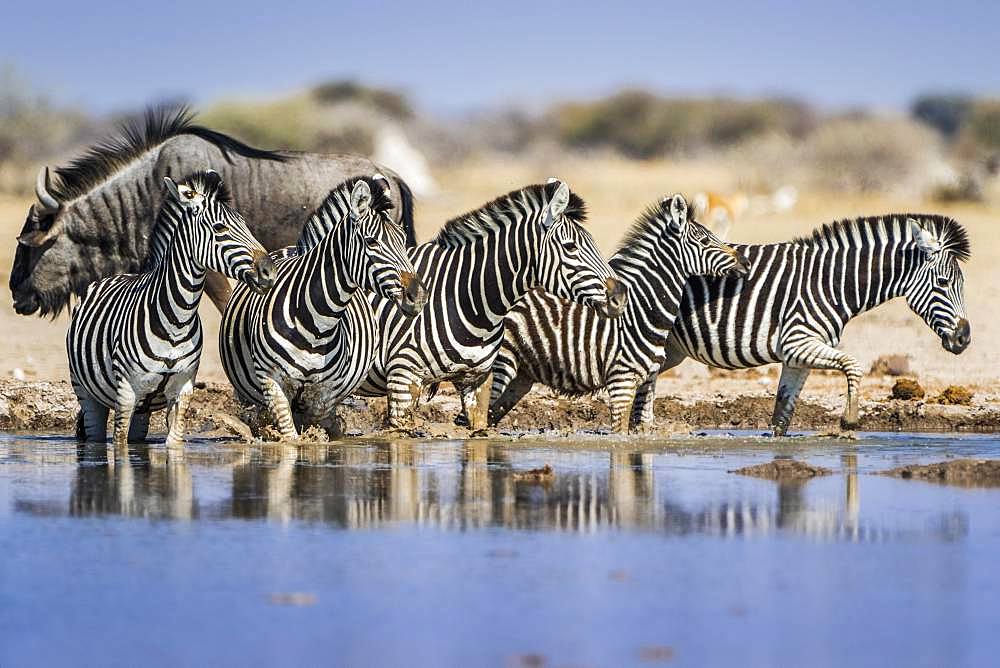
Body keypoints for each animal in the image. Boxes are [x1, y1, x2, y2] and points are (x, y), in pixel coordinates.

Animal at [67, 172, 274, 448]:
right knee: (95, 434)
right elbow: (119, 445)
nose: (269, 272)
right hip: (85, 391)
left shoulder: (182, 388)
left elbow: (174, 443)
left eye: (245, 225)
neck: (176, 320)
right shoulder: (126, 393)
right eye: (220, 228)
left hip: (142, 408)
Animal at [221, 175, 428, 440]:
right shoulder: (272, 381)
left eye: (402, 240)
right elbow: (289, 435)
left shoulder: (327, 391)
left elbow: (318, 419)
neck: (317, 324)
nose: (418, 296)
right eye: (372, 242)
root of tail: (292, 248)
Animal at [488, 193, 752, 434]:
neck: (642, 308)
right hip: (503, 363)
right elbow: (619, 434)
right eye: (705, 240)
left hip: (521, 374)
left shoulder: (648, 377)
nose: (746, 262)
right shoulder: (621, 380)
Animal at [660, 214, 972, 434]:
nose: (964, 338)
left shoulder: (797, 356)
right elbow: (853, 365)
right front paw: (849, 420)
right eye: (943, 283)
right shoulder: (798, 341)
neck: (831, 283)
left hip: (671, 350)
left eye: (961, 284)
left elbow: (782, 417)